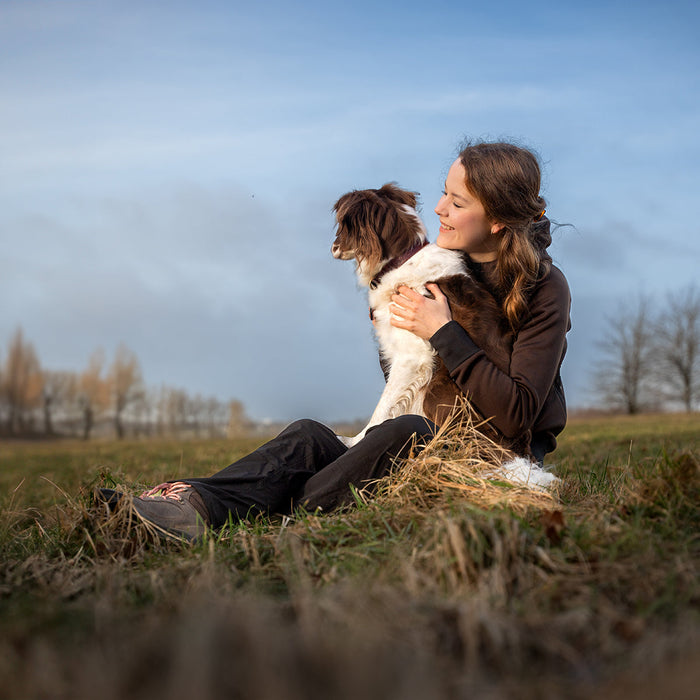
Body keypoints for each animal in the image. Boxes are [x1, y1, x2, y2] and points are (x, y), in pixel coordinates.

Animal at [330, 183, 516, 452]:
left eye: (342, 226)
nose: (332, 247)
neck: (402, 260)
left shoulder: (412, 357)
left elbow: (382, 408)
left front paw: (351, 442)